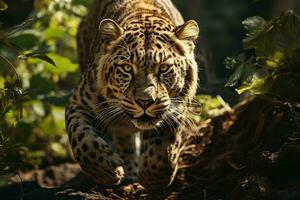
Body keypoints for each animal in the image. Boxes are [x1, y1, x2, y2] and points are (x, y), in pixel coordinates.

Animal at [64, 0, 198, 191]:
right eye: (127, 68)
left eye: (164, 68)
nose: (145, 101)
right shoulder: (78, 103)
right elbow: (83, 140)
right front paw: (107, 171)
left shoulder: (175, 110)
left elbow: (163, 151)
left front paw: (152, 179)